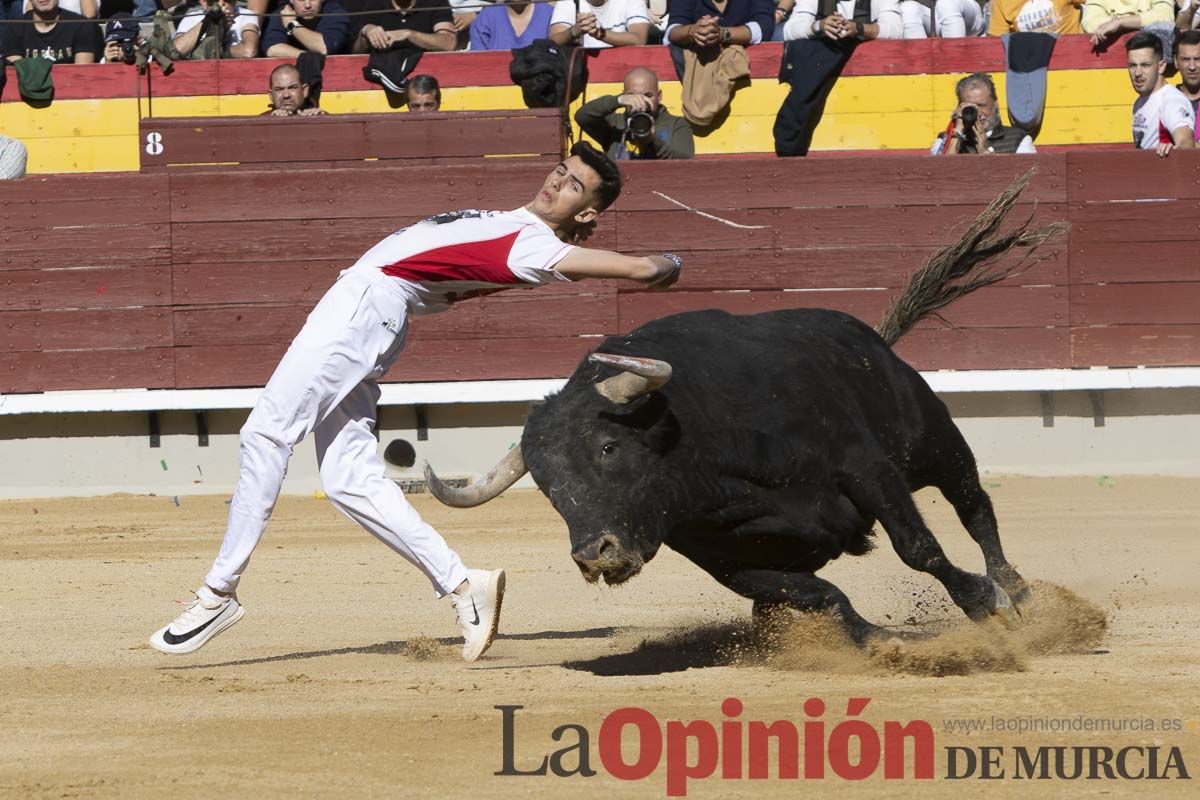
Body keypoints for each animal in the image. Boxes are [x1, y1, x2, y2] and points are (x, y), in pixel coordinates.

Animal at [427, 173, 1065, 642]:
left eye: (608, 447)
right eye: (545, 483)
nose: (594, 555)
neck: (710, 460)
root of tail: (872, 336)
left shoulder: (866, 468)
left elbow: (919, 549)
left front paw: (985, 602)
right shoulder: (724, 558)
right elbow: (819, 595)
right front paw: (879, 640)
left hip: (935, 441)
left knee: (975, 507)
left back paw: (1017, 589)